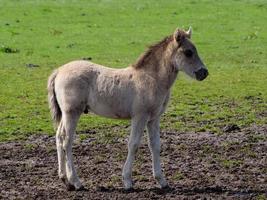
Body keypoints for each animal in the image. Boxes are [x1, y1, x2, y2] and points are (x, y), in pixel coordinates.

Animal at [47, 27, 208, 191]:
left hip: (66, 114)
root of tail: (58, 71)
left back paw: (65, 180)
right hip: (72, 112)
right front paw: (127, 181)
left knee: (59, 137)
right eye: (188, 52)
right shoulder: (140, 116)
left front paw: (162, 181)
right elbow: (133, 144)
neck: (151, 79)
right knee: (67, 141)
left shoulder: (154, 118)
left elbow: (155, 145)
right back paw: (76, 182)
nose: (204, 73)